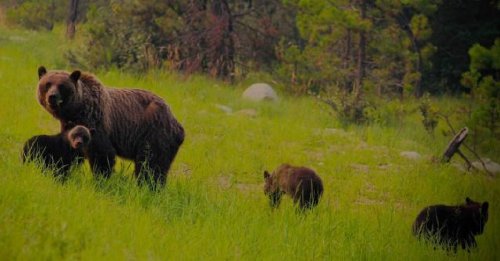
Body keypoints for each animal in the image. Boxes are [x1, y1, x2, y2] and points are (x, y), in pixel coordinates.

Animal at [36, 66, 186, 186]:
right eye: (47, 84)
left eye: (62, 85)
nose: (52, 96)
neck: (77, 110)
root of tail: (177, 123)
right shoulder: (71, 128)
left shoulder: (96, 122)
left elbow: (102, 154)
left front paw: (100, 180)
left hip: (155, 134)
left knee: (151, 165)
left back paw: (148, 187)